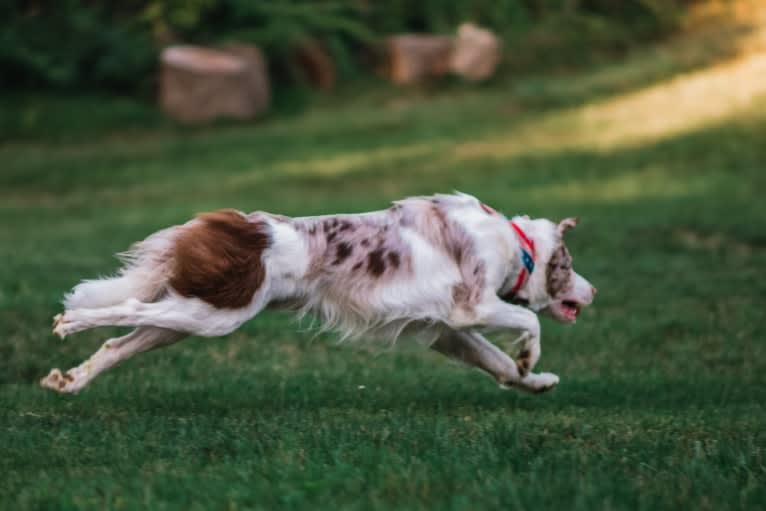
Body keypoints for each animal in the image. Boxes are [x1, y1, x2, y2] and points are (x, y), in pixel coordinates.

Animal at [40, 193, 600, 396]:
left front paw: (536, 380)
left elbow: (498, 365)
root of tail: (238, 225)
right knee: (124, 309)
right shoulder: (473, 306)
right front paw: (531, 357)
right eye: (569, 266)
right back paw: (69, 323)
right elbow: (530, 321)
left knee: (119, 343)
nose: (594, 290)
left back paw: (70, 381)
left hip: (193, 313)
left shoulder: (445, 331)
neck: (516, 243)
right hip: (218, 314)